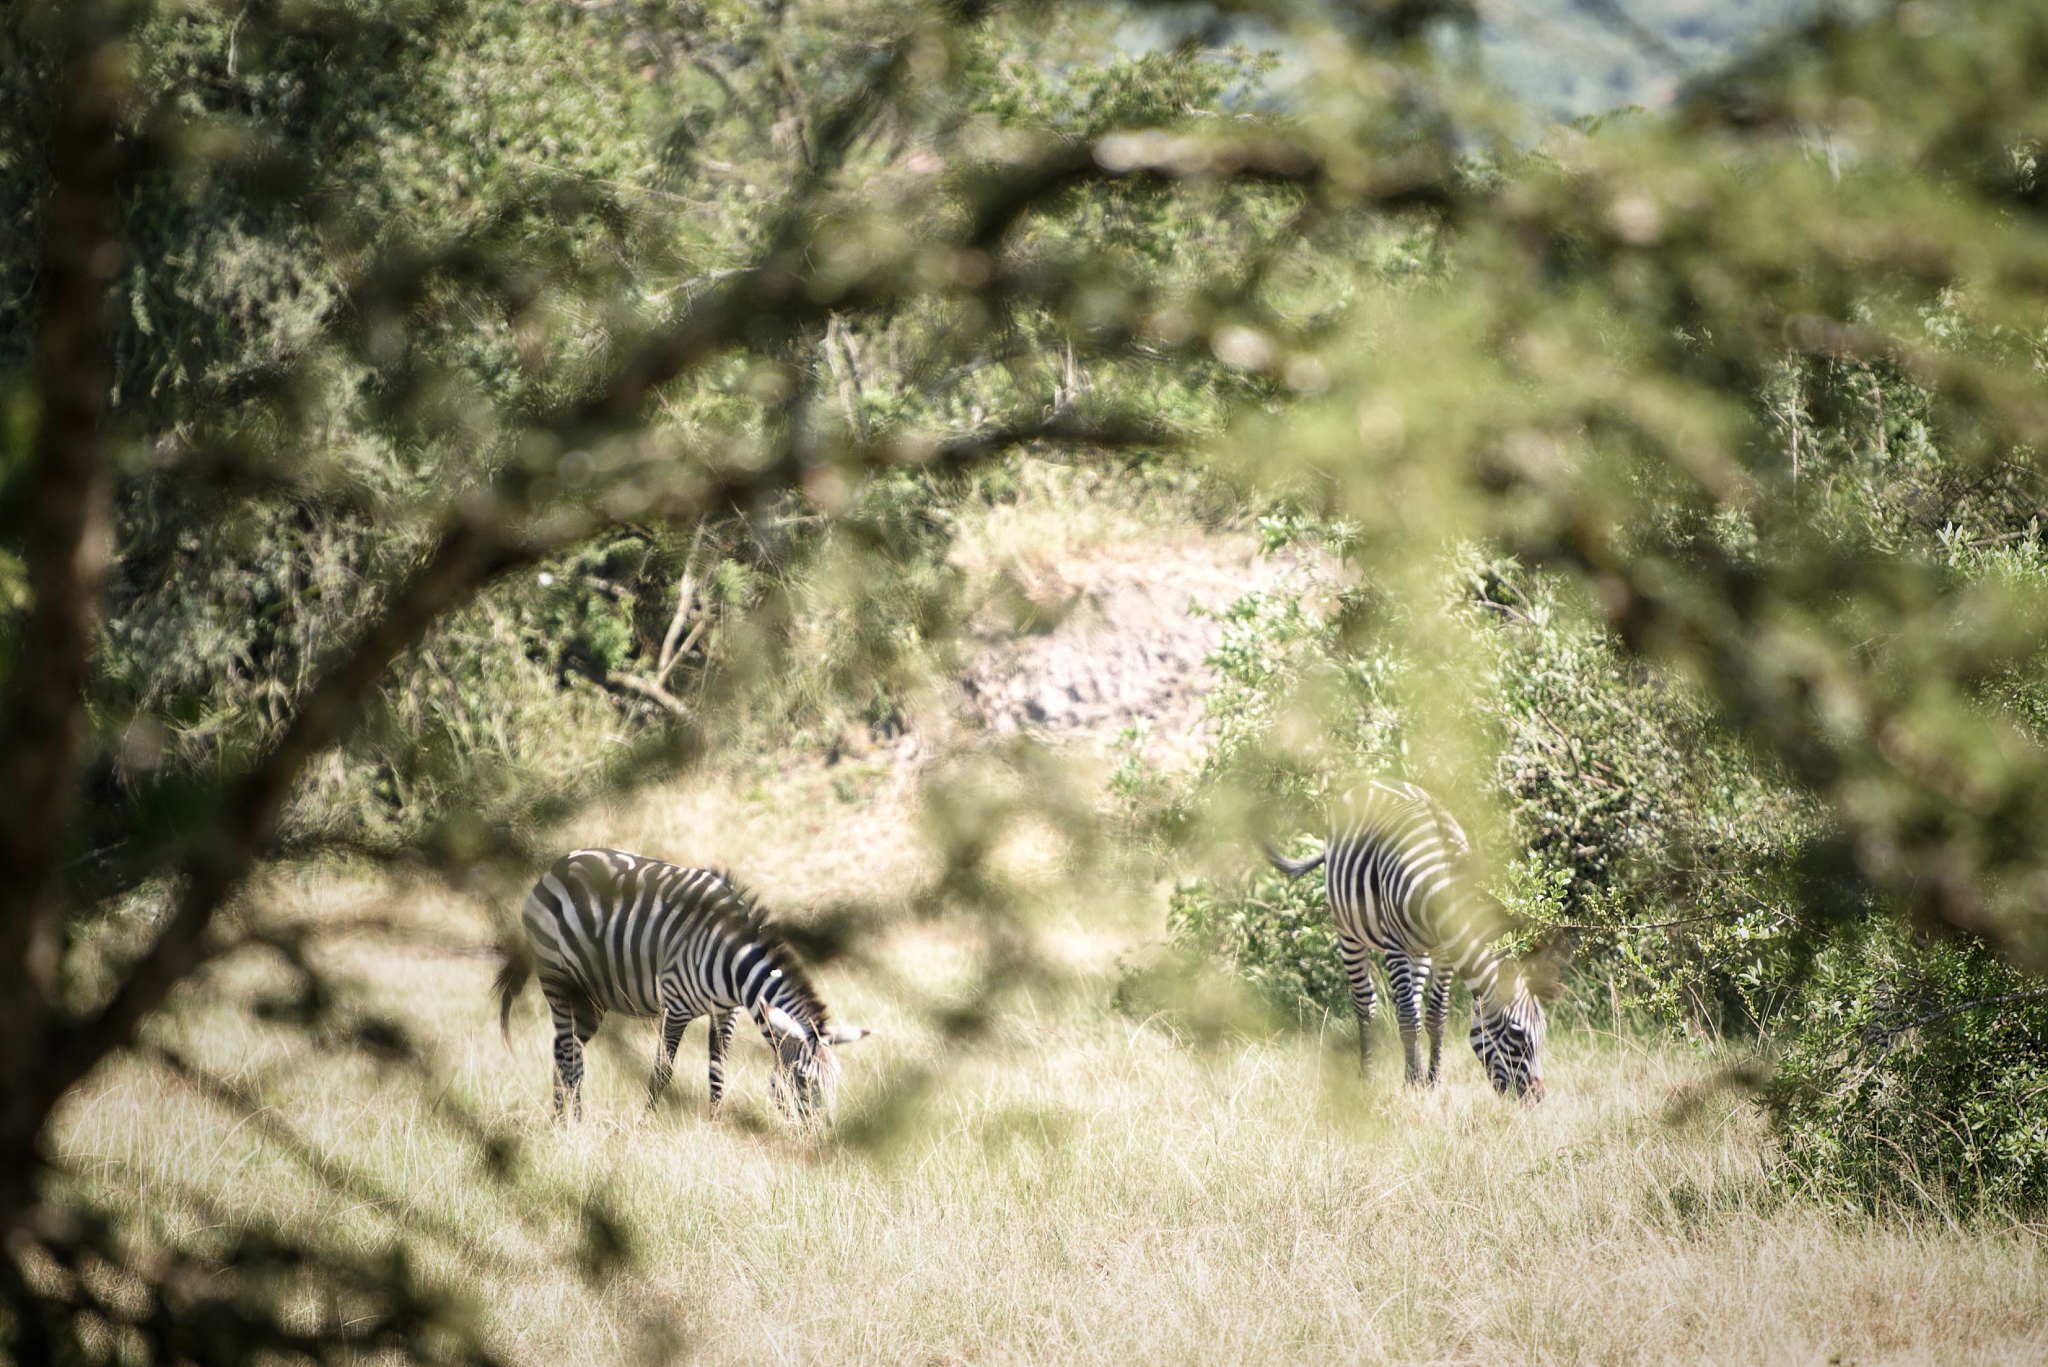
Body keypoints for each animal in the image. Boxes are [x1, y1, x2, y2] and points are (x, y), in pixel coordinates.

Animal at [494, 849, 869, 1121]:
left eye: (837, 1081)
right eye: (804, 1079)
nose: (825, 1137)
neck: (732, 958)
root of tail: (558, 864)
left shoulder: (726, 1013)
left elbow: (717, 1071)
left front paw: (715, 1128)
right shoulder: (676, 1007)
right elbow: (663, 1072)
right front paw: (646, 1126)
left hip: (591, 999)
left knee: (564, 1050)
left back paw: (566, 1121)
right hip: (557, 979)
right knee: (569, 1056)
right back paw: (570, 1125)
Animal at [1265, 779, 1547, 1101]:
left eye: (1543, 1032)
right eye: (1516, 1033)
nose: (1538, 1098)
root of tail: (1372, 781)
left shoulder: (1444, 951)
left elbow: (1435, 1017)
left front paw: (1432, 1081)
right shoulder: (1395, 945)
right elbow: (1407, 1021)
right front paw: (1413, 1082)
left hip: (1419, 950)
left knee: (1410, 1002)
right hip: (1348, 932)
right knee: (1366, 1003)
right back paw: (1369, 1077)